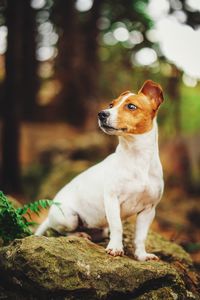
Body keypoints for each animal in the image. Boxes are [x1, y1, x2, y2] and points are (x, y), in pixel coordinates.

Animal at [35, 81, 164, 262]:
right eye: (111, 104)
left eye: (131, 106)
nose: (102, 114)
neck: (137, 158)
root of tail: (49, 216)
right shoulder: (112, 199)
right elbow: (117, 226)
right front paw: (115, 248)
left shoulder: (148, 210)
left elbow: (140, 236)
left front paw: (141, 255)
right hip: (69, 217)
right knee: (61, 231)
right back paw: (80, 235)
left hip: (100, 227)